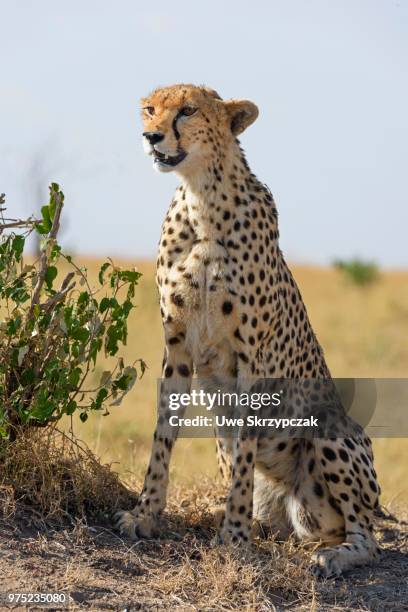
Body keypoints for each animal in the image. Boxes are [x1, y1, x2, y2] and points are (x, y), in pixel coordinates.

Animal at [115, 83, 382, 576]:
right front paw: (146, 513)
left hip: (333, 431)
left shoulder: (250, 357)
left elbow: (243, 455)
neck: (201, 197)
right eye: (149, 109)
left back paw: (332, 556)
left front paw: (235, 536)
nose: (151, 136)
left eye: (188, 110)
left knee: (367, 536)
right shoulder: (176, 346)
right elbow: (164, 434)